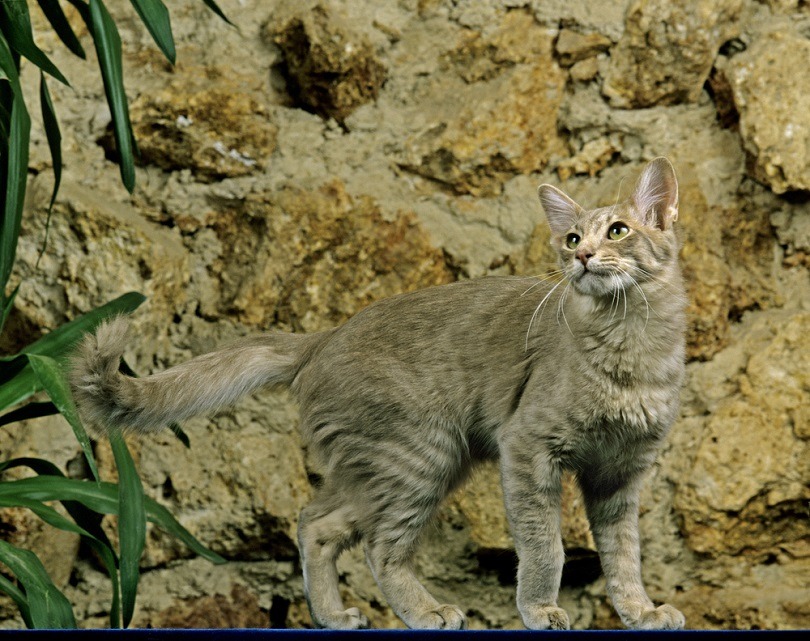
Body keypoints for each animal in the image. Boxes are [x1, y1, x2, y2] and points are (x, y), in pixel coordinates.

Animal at [72, 156, 684, 632]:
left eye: (619, 231)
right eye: (573, 238)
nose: (581, 257)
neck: (631, 347)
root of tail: (326, 335)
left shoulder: (620, 473)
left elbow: (623, 555)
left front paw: (640, 612)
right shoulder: (529, 448)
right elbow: (544, 546)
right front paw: (539, 610)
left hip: (392, 467)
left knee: (315, 523)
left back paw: (331, 616)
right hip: (420, 458)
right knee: (379, 547)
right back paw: (426, 612)